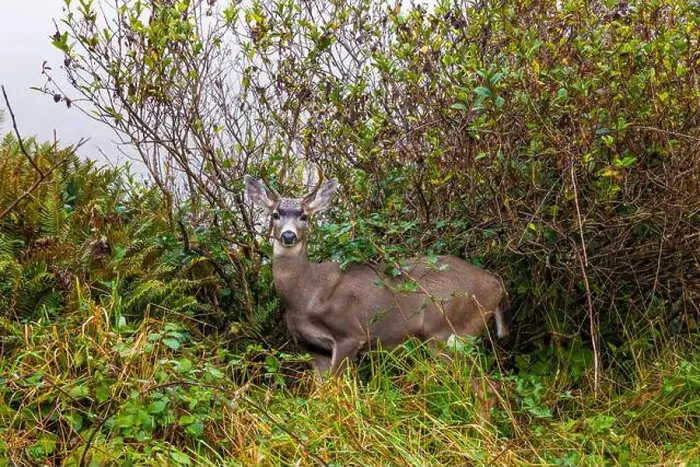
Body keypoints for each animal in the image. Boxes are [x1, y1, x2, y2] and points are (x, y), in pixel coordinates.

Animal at [244, 173, 511, 378]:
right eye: (275, 214)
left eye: (304, 216)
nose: (288, 236)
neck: (305, 296)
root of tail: (496, 284)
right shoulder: (312, 348)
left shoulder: (350, 334)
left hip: (450, 330)